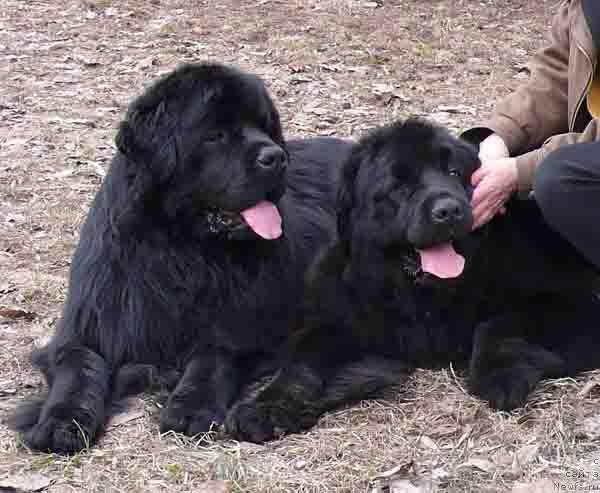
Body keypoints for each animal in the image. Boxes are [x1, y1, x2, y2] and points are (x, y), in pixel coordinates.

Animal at [9, 63, 354, 452]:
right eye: (215, 135)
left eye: (266, 127)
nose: (276, 157)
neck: (180, 251)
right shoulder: (90, 321)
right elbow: (78, 366)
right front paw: (61, 420)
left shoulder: (246, 325)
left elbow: (214, 354)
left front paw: (192, 405)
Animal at [224, 116, 600, 442]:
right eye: (399, 184)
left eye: (454, 172)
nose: (448, 210)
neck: (422, 294)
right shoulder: (348, 320)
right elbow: (303, 358)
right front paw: (266, 407)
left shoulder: (578, 301)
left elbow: (498, 324)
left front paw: (501, 375)